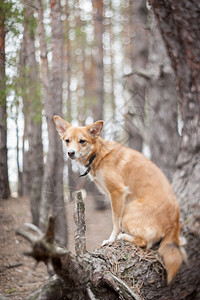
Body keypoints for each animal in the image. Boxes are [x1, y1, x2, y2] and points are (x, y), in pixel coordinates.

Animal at [53, 115, 186, 284]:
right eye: (67, 140)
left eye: (82, 141)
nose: (70, 153)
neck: (98, 153)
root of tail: (175, 221)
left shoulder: (117, 192)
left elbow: (115, 221)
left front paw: (111, 239)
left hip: (128, 212)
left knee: (145, 242)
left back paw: (124, 236)